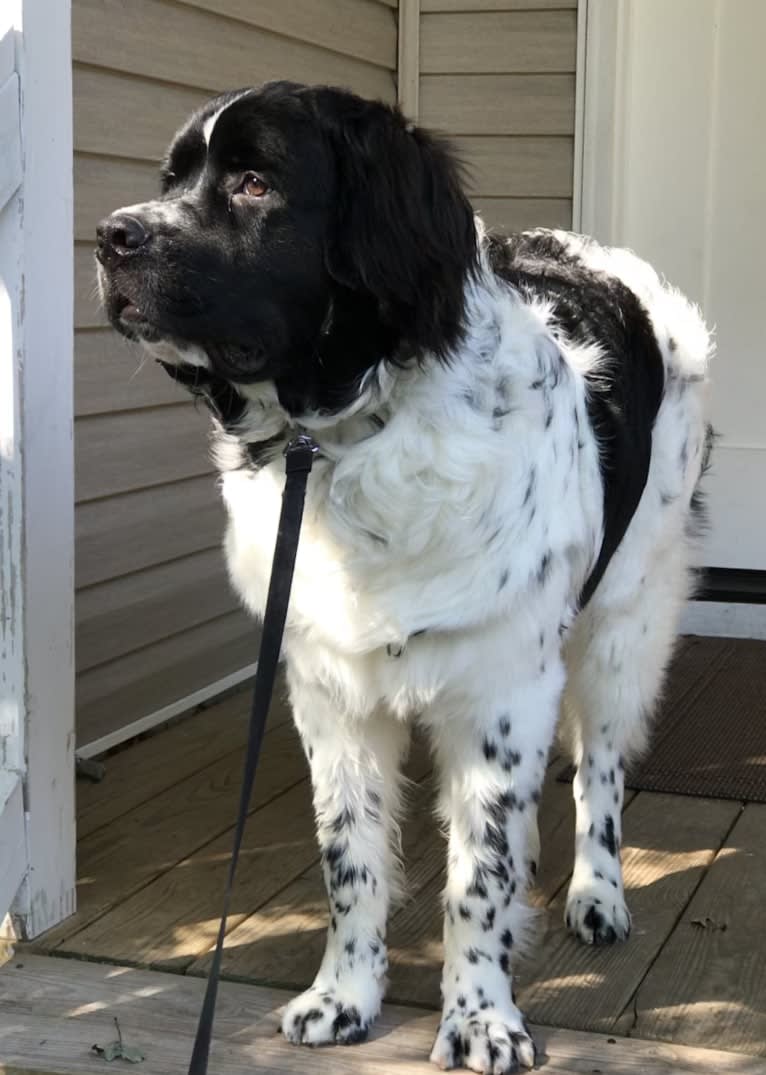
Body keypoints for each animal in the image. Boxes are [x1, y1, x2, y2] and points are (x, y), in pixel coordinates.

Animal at [95, 83, 709, 1075]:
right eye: (171, 179)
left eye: (257, 182)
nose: (111, 235)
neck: (348, 436)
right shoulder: (330, 692)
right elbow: (351, 860)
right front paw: (345, 995)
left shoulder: (504, 682)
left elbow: (476, 879)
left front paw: (482, 1016)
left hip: (626, 621)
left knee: (601, 771)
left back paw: (598, 894)